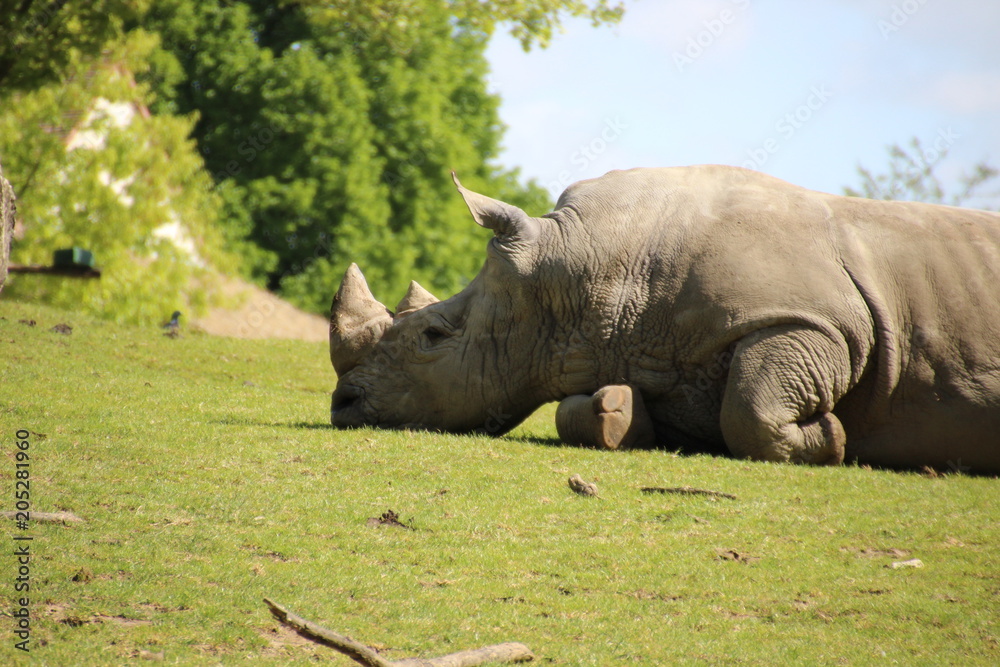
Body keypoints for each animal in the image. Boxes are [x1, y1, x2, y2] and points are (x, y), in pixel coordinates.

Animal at [329, 165, 1000, 473]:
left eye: (433, 337)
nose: (342, 406)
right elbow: (578, 410)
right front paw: (616, 414)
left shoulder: (820, 321)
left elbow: (750, 406)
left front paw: (832, 439)